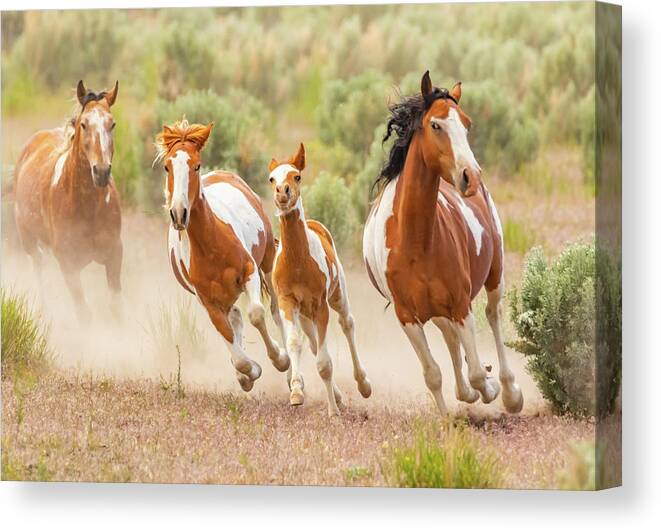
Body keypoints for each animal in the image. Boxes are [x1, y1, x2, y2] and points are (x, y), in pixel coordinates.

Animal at [12, 80, 124, 320]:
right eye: (84, 124)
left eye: (112, 124)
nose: (101, 172)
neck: (88, 208)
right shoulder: (68, 265)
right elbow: (84, 314)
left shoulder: (114, 254)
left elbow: (116, 308)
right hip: (28, 240)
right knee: (38, 266)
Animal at [268, 142, 372, 414]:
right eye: (272, 178)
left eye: (297, 176)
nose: (282, 193)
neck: (297, 262)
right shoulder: (287, 302)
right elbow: (295, 343)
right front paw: (296, 392)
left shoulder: (320, 306)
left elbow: (325, 363)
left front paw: (333, 411)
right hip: (305, 315)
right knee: (314, 344)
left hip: (338, 297)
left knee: (347, 324)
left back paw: (363, 384)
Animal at [360, 72, 520, 414]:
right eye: (435, 125)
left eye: (467, 123)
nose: (471, 176)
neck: (415, 241)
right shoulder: (407, 316)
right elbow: (433, 374)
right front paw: (449, 416)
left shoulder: (461, 304)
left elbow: (476, 371)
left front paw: (488, 387)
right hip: (435, 311)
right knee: (450, 339)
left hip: (494, 275)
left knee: (494, 316)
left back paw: (509, 392)